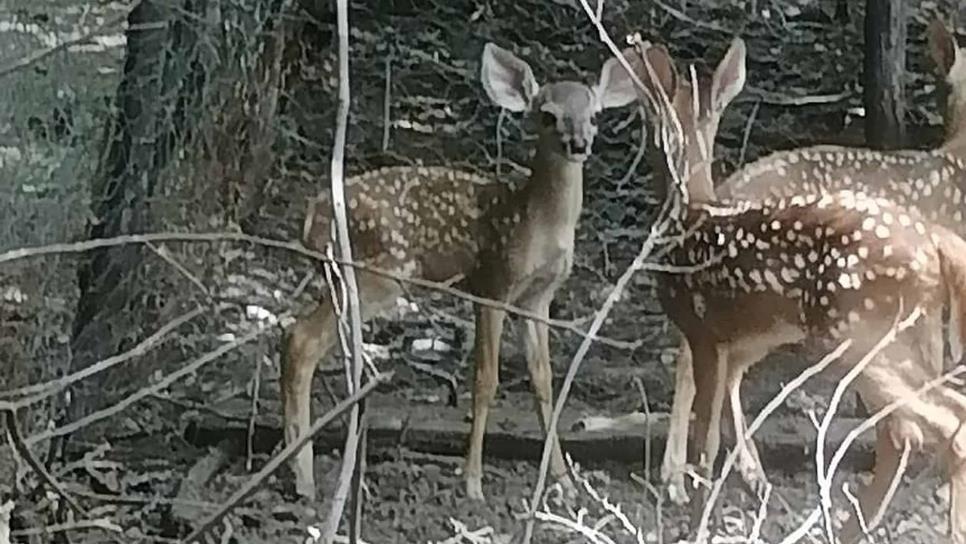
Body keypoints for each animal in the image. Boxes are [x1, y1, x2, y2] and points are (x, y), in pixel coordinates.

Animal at [282, 41, 644, 502]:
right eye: (547, 115)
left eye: (595, 114)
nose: (579, 143)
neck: (538, 222)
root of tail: (310, 218)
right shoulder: (493, 283)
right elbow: (485, 380)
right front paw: (472, 482)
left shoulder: (538, 297)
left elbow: (544, 382)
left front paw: (563, 480)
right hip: (375, 274)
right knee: (301, 341)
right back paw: (304, 479)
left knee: (297, 337)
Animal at [632, 40, 966, 540]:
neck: (691, 216)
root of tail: (935, 244)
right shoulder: (731, 340)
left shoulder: (705, 331)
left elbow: (704, 446)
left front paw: (696, 522)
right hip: (889, 334)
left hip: (857, 332)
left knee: (923, 426)